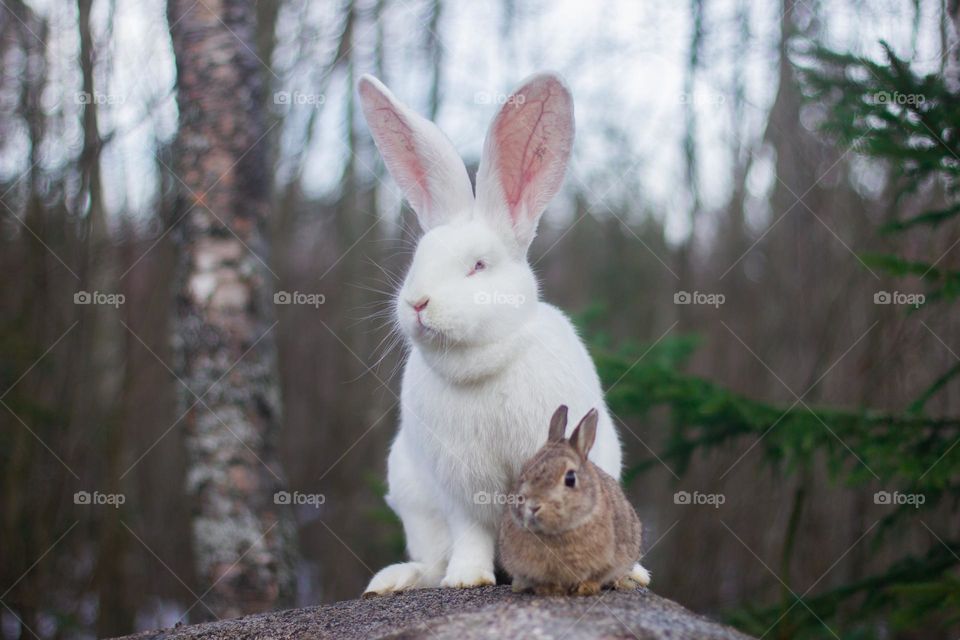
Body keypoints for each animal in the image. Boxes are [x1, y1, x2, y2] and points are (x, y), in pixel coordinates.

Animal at [358, 71, 625, 597]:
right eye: (418, 259)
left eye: (478, 266)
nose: (417, 303)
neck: (481, 361)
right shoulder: (459, 486)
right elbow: (472, 533)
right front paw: (467, 579)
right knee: (431, 558)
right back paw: (397, 580)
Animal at [499, 406, 651, 596]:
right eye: (524, 472)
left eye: (570, 478)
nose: (533, 506)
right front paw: (549, 589)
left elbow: (597, 576)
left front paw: (586, 588)